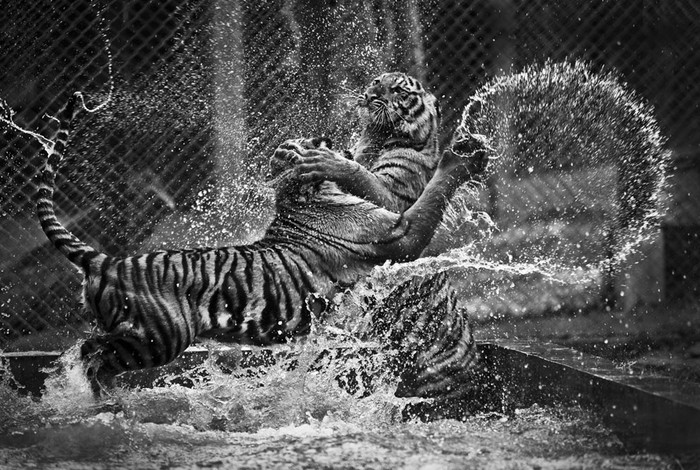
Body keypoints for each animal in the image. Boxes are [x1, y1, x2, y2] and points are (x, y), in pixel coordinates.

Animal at [35, 83, 488, 397]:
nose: (328, 138)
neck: (296, 196)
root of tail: (108, 261)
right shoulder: (398, 233)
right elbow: (429, 198)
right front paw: (460, 156)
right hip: (157, 338)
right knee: (93, 355)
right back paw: (95, 396)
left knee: (86, 350)